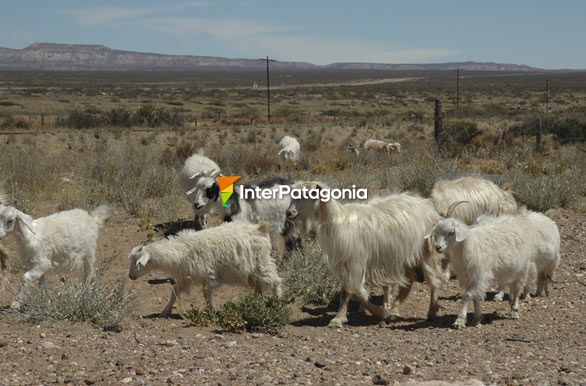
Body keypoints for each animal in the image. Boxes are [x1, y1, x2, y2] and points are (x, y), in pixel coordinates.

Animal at [128, 220, 282, 316]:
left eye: (139, 263)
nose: (130, 276)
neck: (181, 251)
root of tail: (259, 229)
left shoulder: (208, 276)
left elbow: (206, 295)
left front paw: (210, 311)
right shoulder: (185, 278)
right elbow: (174, 293)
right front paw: (165, 311)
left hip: (261, 264)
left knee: (275, 280)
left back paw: (276, 300)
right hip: (253, 272)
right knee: (259, 287)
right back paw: (256, 302)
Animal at [286, 182, 440, 328]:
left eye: (309, 194)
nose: (289, 213)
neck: (337, 222)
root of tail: (427, 206)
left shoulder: (356, 262)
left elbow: (349, 290)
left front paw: (340, 319)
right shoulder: (345, 263)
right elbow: (351, 291)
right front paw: (375, 312)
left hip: (426, 250)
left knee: (433, 279)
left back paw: (431, 311)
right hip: (403, 254)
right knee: (409, 279)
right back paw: (394, 310)